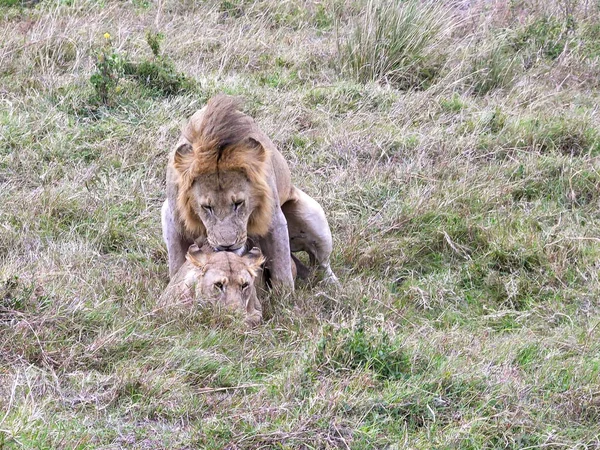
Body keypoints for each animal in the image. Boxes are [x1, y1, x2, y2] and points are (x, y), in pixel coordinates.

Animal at [159, 95, 336, 324]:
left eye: (239, 203)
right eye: (207, 207)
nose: (226, 246)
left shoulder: (274, 220)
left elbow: (282, 274)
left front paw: (286, 309)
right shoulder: (175, 219)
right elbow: (178, 263)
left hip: (312, 214)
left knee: (321, 265)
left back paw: (332, 287)